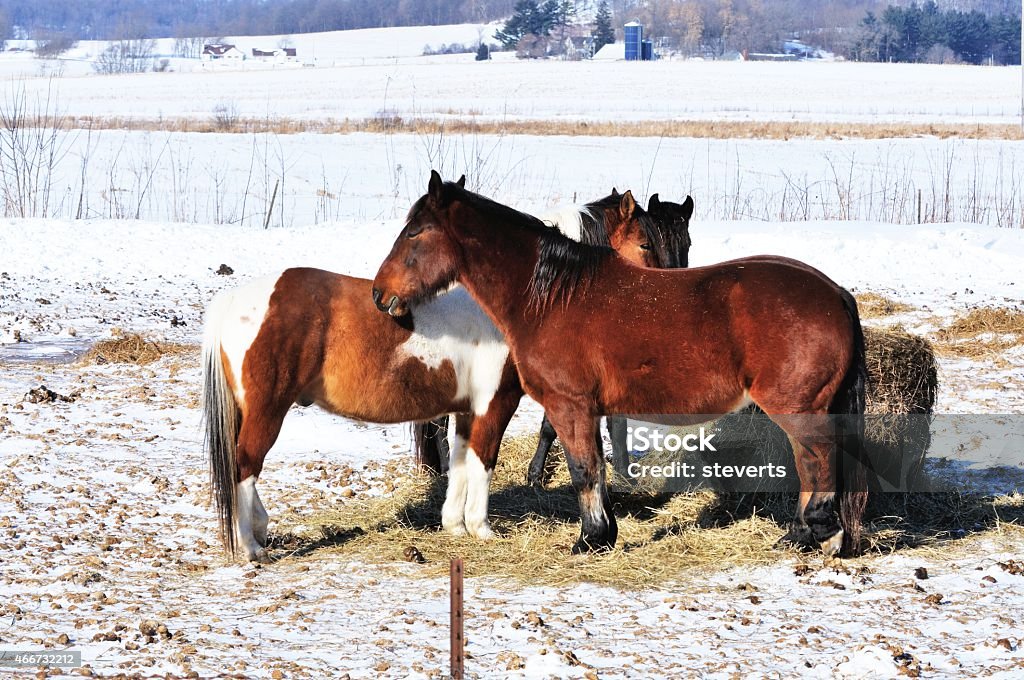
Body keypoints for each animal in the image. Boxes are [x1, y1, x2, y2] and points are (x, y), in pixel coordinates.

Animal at [200, 178, 663, 561]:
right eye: (644, 243)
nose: (655, 302)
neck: (516, 300)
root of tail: (234, 299)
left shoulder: (466, 409)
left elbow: (459, 462)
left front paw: (455, 525)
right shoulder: (496, 404)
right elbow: (483, 461)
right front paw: (481, 528)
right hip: (267, 410)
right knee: (245, 466)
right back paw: (251, 547)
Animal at [372, 171, 868, 557]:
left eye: (414, 232)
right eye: (646, 242)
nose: (380, 293)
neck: (552, 295)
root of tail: (834, 294)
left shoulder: (568, 405)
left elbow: (583, 470)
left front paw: (591, 538)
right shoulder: (588, 408)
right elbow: (594, 464)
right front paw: (603, 532)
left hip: (798, 408)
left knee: (818, 462)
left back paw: (813, 533)